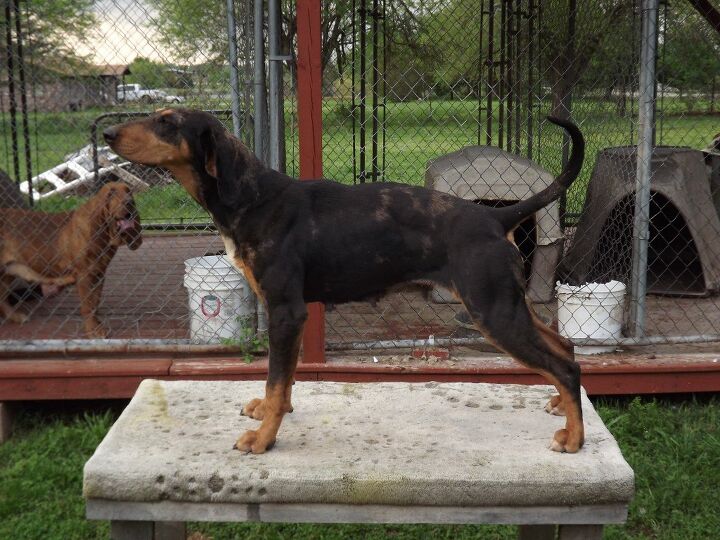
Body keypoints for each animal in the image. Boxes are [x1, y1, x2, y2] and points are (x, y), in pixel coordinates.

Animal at [0, 180, 142, 338]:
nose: (129, 202)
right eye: (111, 194)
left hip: (8, 271)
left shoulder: (99, 275)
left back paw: (16, 317)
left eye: (129, 191)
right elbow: (88, 306)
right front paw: (93, 331)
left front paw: (98, 326)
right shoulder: (85, 276)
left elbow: (95, 303)